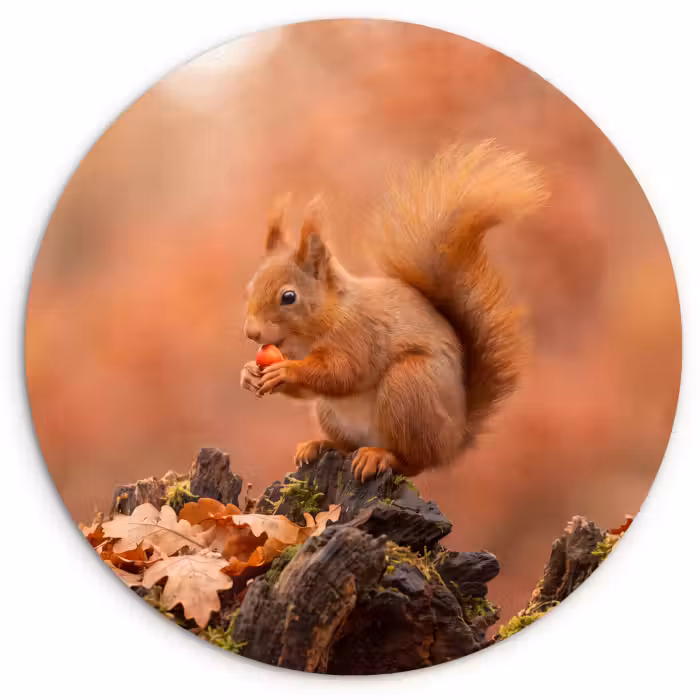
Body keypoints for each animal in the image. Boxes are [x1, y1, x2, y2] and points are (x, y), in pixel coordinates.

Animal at [240, 140, 548, 482]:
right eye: (249, 288)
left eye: (289, 297)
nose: (251, 332)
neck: (323, 320)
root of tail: (456, 440)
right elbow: (309, 390)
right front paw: (249, 373)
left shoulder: (358, 335)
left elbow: (342, 372)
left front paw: (285, 370)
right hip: (330, 412)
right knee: (347, 444)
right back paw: (319, 445)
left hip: (409, 387)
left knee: (414, 461)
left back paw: (380, 456)